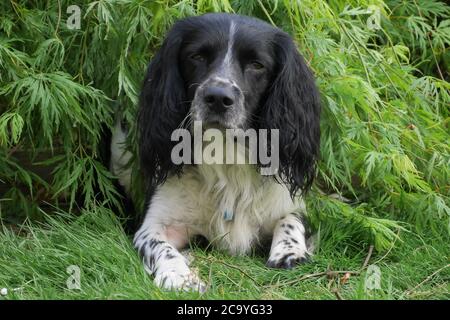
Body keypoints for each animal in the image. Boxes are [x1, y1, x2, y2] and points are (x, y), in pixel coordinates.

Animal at [111, 13, 322, 292]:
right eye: (197, 56)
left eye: (257, 64)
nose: (218, 98)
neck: (224, 151)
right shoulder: (155, 221)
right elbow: (159, 244)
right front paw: (181, 276)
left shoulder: (288, 202)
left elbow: (290, 220)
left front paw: (289, 252)